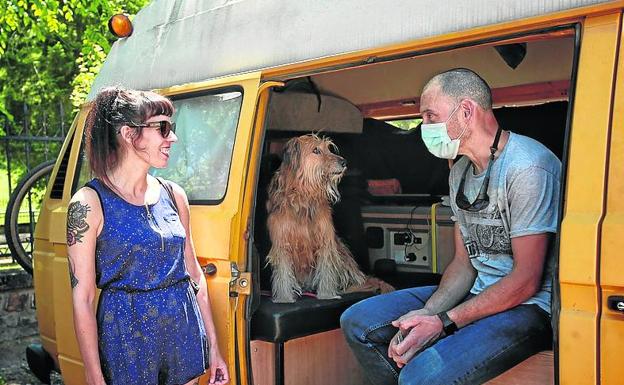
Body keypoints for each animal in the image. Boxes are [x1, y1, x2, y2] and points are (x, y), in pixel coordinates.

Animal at [266, 134, 388, 302]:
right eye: (316, 150)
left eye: (329, 148)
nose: (344, 162)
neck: (304, 196)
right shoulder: (282, 242)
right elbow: (283, 273)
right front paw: (284, 298)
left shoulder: (325, 240)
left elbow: (326, 270)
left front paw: (326, 295)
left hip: (341, 251)